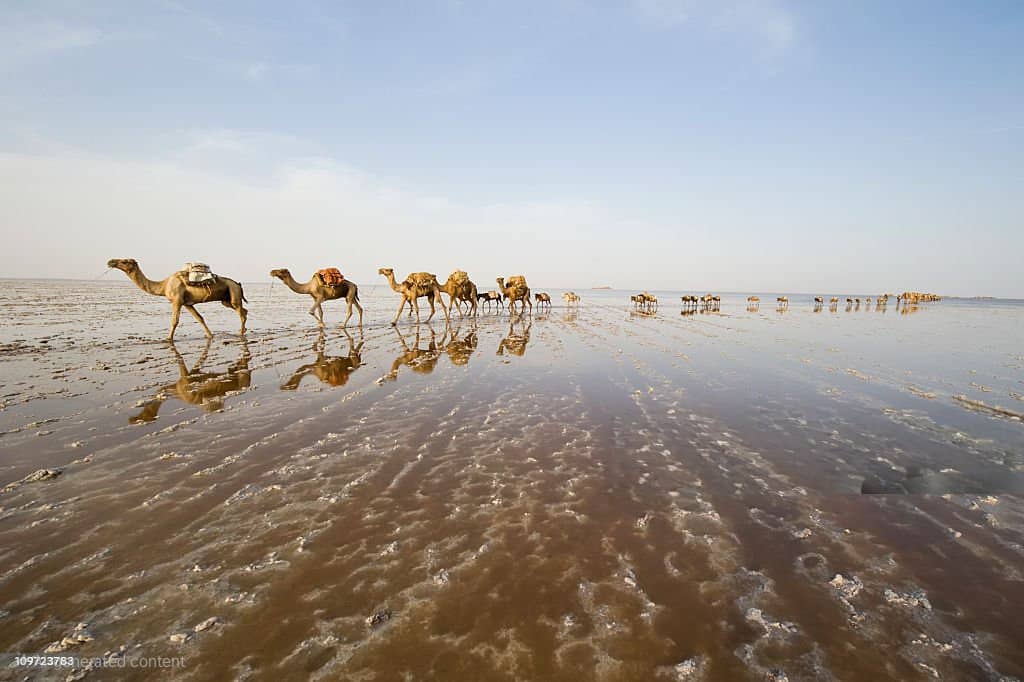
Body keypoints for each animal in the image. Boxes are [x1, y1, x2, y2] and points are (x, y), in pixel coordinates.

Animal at [108, 259, 247, 341]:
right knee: (243, 311)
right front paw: (210, 335)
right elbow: (199, 318)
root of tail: (238, 284)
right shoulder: (187, 303)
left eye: (125, 261)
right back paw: (242, 331)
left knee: (241, 312)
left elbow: (174, 321)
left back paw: (240, 333)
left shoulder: (177, 301)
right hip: (226, 300)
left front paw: (168, 339)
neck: (163, 285)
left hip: (233, 293)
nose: (110, 262)